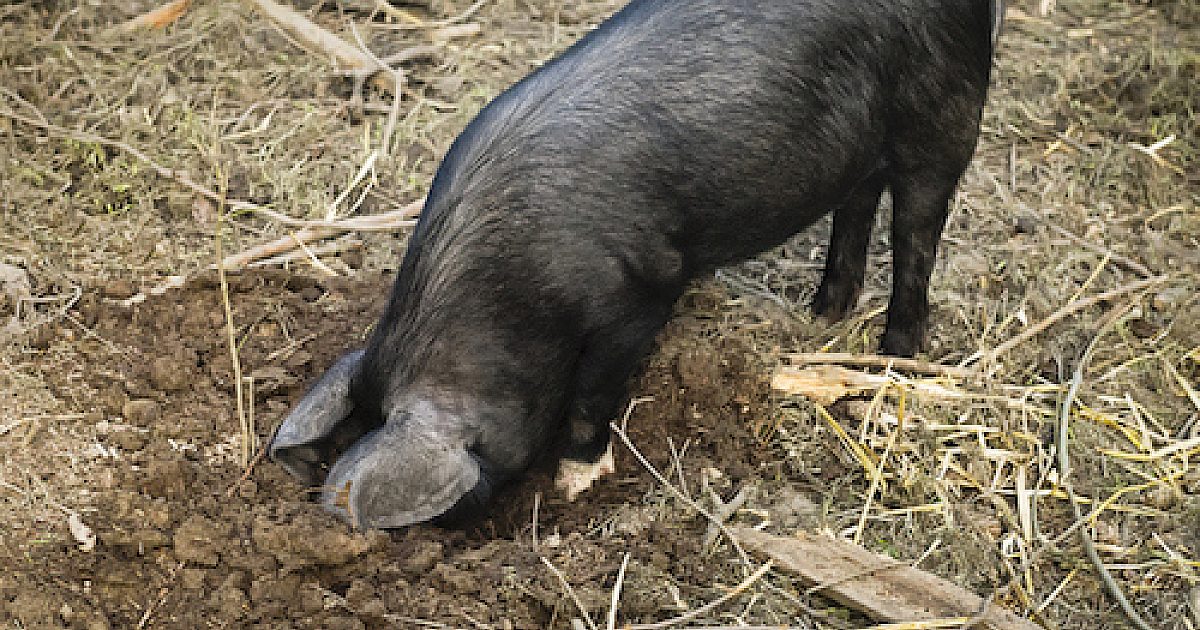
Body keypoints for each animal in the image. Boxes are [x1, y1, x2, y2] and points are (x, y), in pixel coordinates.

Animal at [270, 0, 1004, 529]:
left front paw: (577, 484)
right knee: (858, 202)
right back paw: (823, 316)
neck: (514, 299)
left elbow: (594, 395)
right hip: (861, 151)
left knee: (917, 231)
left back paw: (895, 356)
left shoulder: (639, 292)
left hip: (947, 115)